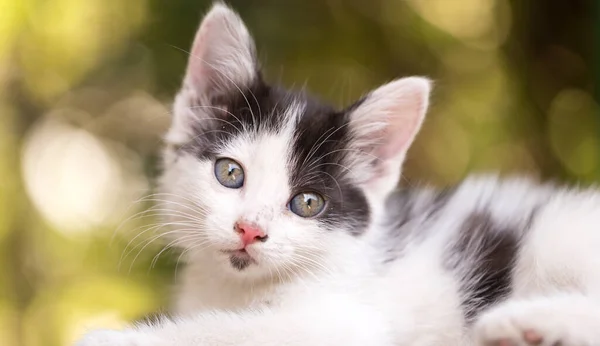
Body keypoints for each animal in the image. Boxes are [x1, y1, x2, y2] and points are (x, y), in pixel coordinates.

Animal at [77, 3, 600, 346]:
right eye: (230, 173)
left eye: (308, 203)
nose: (250, 230)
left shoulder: (350, 321)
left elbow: (230, 332)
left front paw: (110, 338)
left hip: (557, 236)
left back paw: (522, 323)